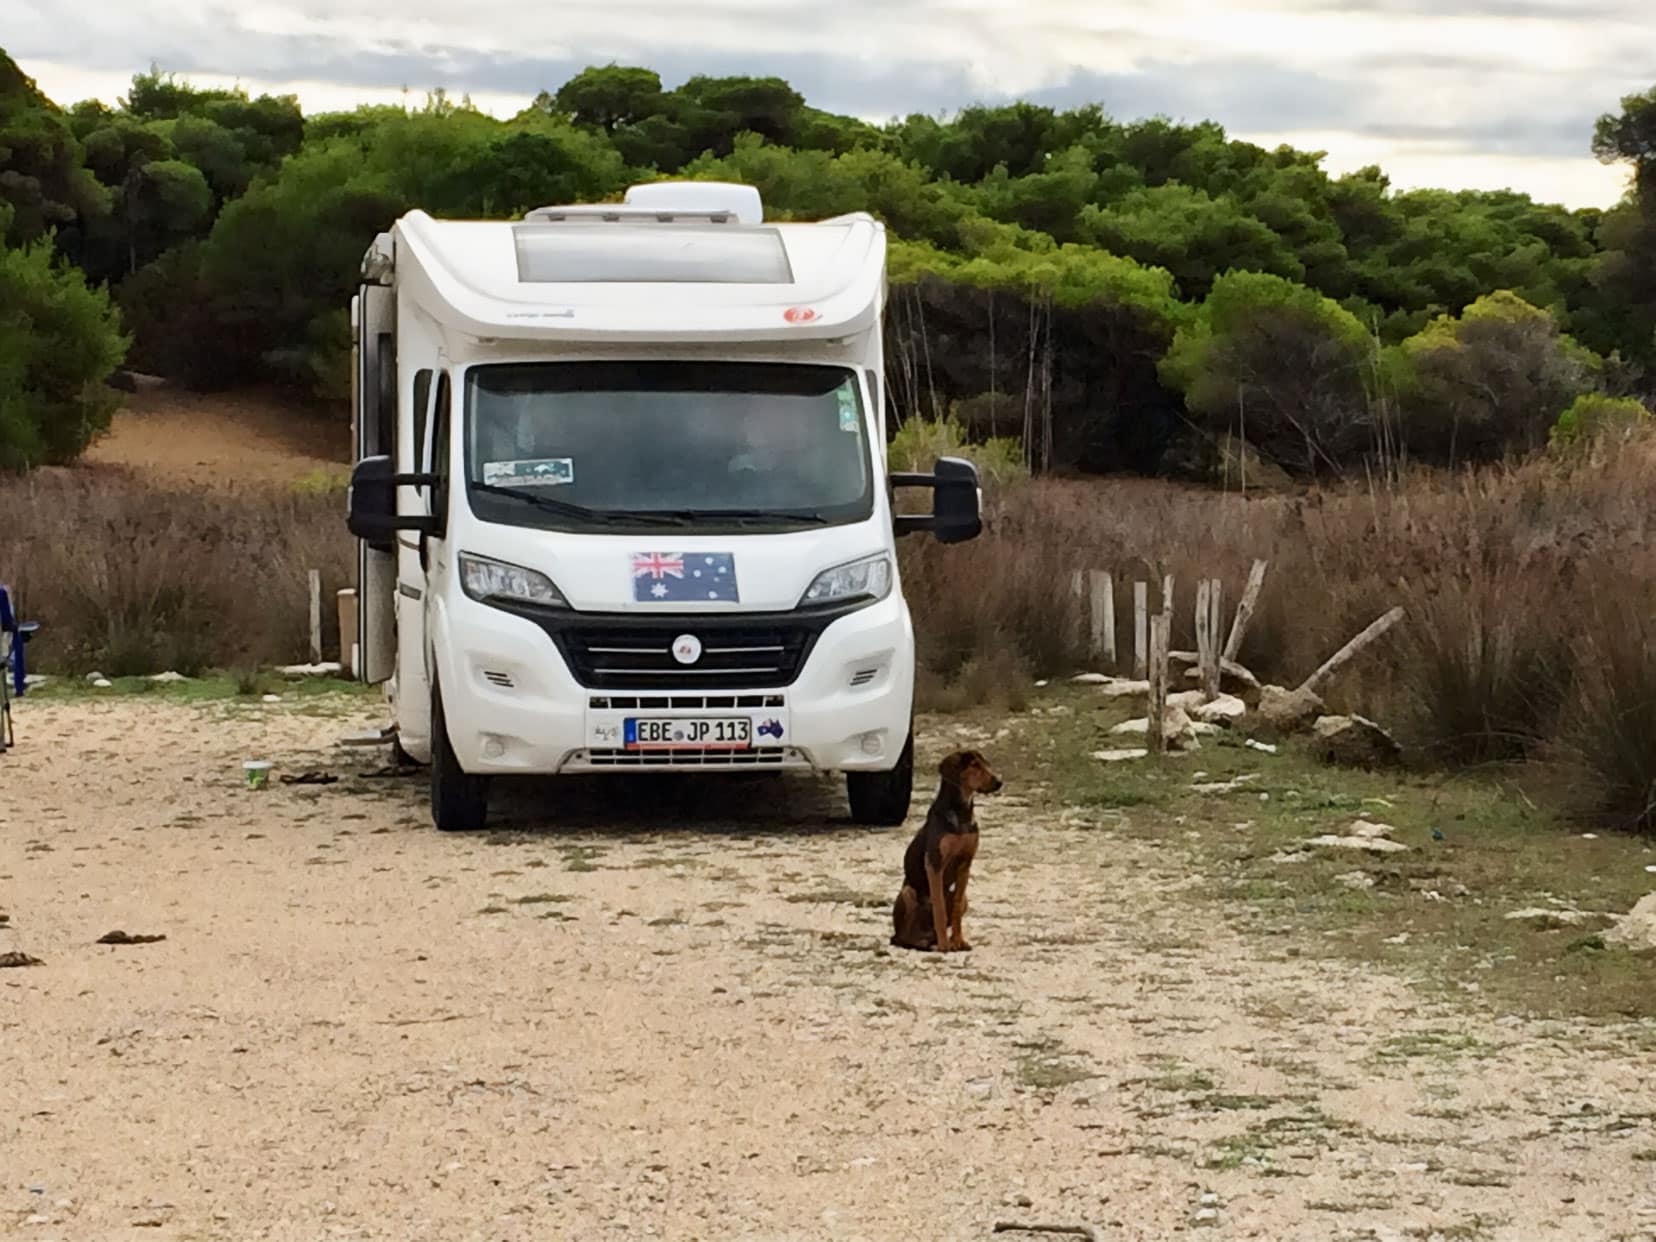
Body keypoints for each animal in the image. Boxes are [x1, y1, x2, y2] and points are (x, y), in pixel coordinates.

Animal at [894, 748, 993, 953]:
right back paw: (924, 943)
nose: (999, 782)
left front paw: (958, 941)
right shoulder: (935, 862)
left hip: (965, 899)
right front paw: (945, 945)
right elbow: (938, 907)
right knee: (902, 937)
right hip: (907, 892)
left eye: (985, 762)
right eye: (974, 765)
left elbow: (955, 907)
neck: (961, 813)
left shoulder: (966, 863)